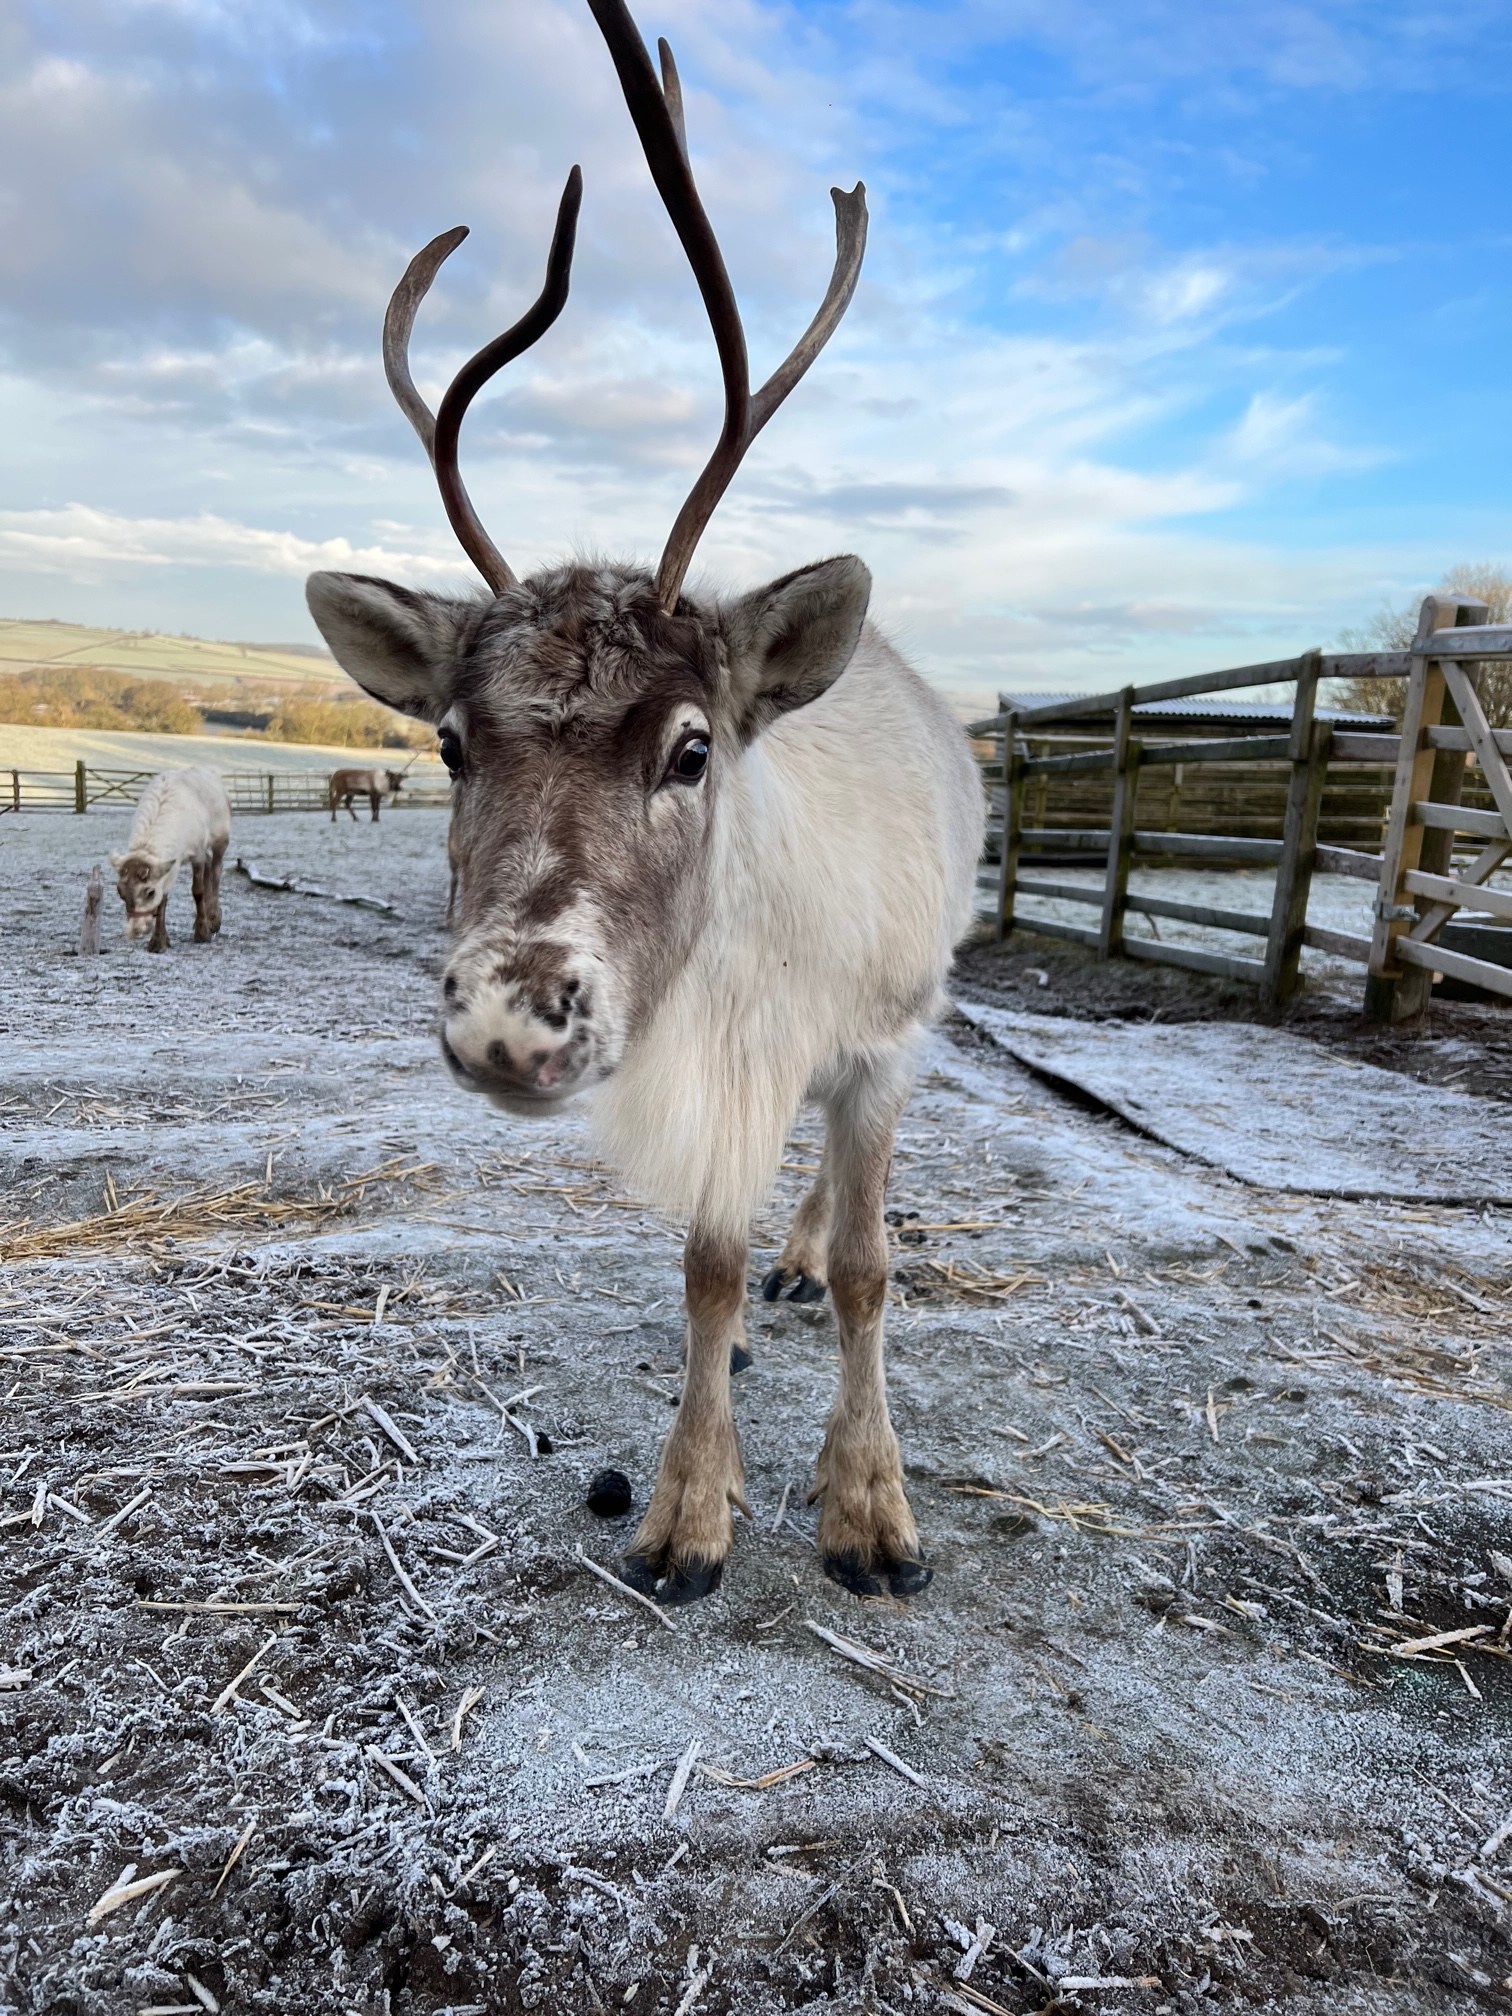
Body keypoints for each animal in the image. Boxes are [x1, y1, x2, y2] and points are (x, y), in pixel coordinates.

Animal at [304, 0, 984, 1605]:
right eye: (449, 745)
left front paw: (871, 1509)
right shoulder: (718, 1068)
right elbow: (704, 1268)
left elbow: (875, 1268)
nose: (509, 1014)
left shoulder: (881, 1047)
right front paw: (691, 1504)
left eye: (688, 749)